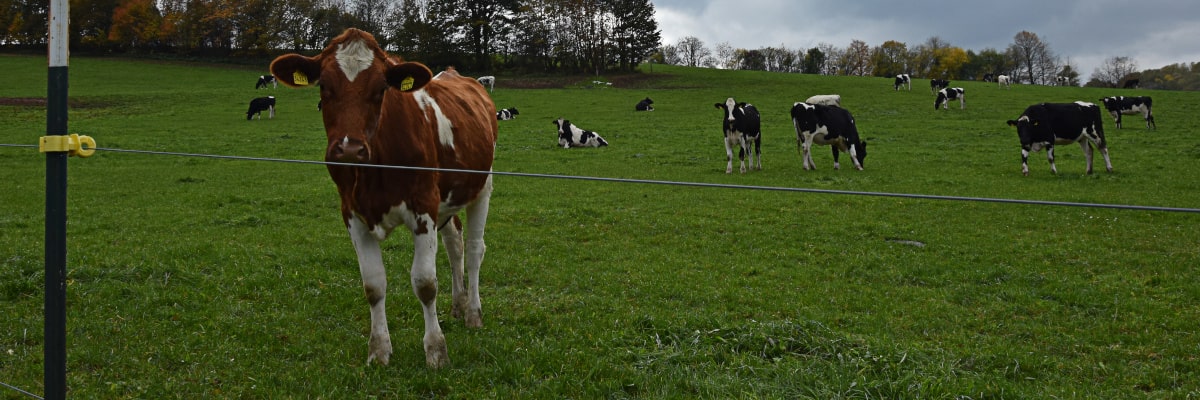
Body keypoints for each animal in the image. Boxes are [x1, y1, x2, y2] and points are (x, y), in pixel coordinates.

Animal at [269, 28, 498, 368]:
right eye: (323, 86)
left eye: (381, 89)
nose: (350, 149)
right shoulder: (352, 213)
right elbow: (373, 284)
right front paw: (378, 350)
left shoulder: (424, 207)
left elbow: (425, 283)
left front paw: (436, 350)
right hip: (449, 201)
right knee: (454, 246)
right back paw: (458, 305)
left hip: (482, 187)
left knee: (473, 250)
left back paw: (472, 313)